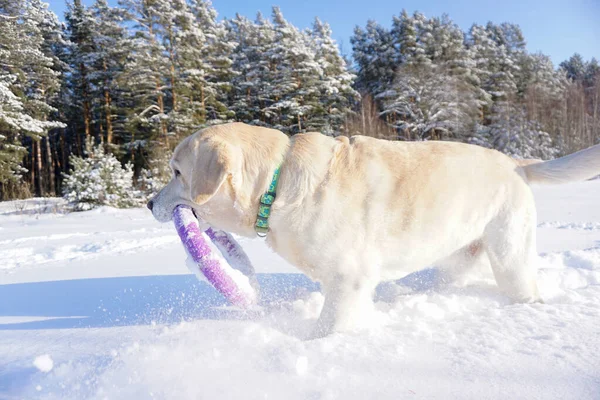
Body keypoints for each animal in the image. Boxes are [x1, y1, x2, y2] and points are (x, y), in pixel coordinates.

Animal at [149, 122, 600, 338]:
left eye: (177, 172)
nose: (148, 203)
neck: (276, 186)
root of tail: (514, 162)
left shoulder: (349, 279)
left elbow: (327, 328)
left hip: (510, 255)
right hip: (458, 255)